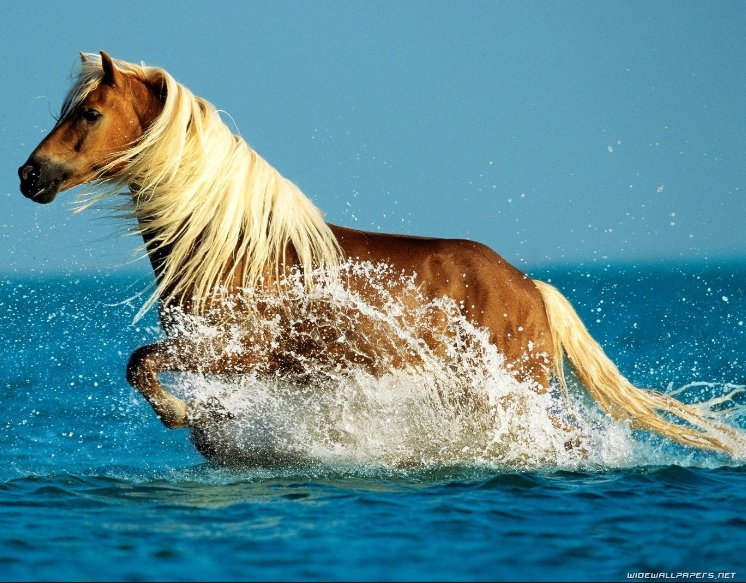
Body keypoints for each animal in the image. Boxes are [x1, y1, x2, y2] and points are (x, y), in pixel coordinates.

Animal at [18, 51, 743, 459]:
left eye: (88, 113)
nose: (30, 175)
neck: (233, 249)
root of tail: (531, 287)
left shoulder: (231, 350)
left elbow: (140, 364)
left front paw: (177, 414)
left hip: (517, 390)